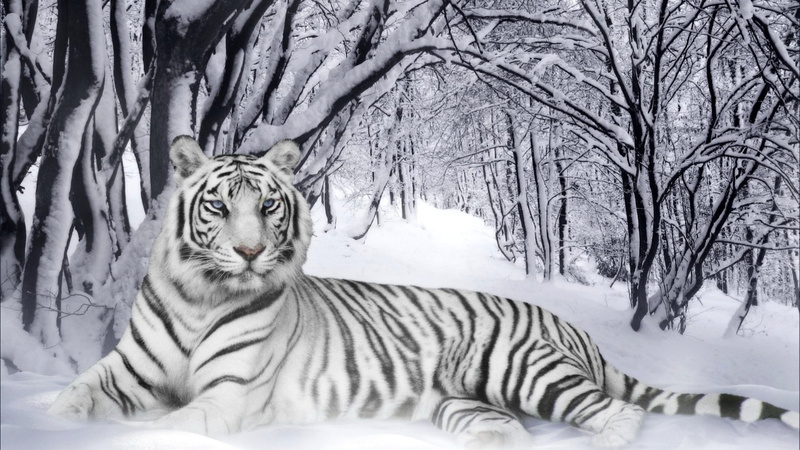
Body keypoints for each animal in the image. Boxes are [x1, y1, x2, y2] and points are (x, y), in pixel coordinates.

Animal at [48, 135, 799, 448]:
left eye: (267, 207)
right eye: (217, 206)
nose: (251, 252)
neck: (201, 295)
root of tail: (571, 327)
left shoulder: (228, 397)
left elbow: (164, 426)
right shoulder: (123, 372)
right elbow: (71, 399)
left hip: (523, 370)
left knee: (618, 415)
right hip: (461, 403)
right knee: (508, 431)